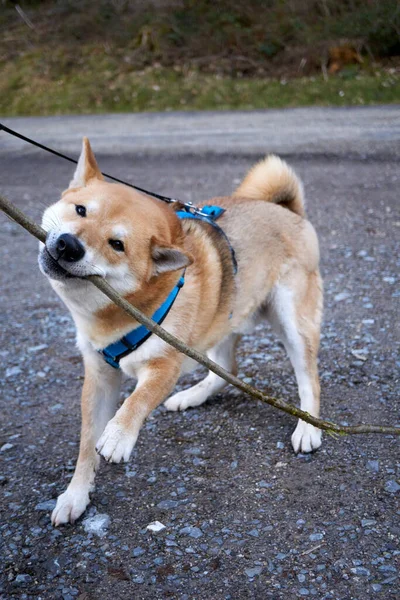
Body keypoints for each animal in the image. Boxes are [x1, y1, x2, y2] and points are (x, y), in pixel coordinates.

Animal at [39, 138, 324, 524]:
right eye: (80, 210)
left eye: (117, 245)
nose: (69, 245)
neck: (116, 313)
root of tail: (286, 210)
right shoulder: (99, 375)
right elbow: (85, 446)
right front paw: (75, 495)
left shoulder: (166, 364)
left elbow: (138, 399)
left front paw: (119, 434)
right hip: (221, 319)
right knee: (226, 369)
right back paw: (192, 396)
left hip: (291, 321)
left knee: (308, 378)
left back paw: (308, 427)